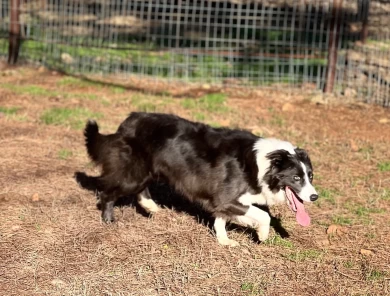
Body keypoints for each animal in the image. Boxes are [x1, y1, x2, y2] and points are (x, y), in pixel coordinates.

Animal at [84, 112, 318, 246]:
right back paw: (108, 219)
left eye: (310, 176)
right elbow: (263, 215)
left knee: (141, 189)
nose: (315, 196)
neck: (263, 164)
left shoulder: (223, 201)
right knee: (108, 192)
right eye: (296, 177)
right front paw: (262, 235)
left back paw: (152, 207)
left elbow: (221, 219)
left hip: (147, 170)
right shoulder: (227, 198)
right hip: (133, 172)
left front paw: (224, 241)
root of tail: (127, 122)